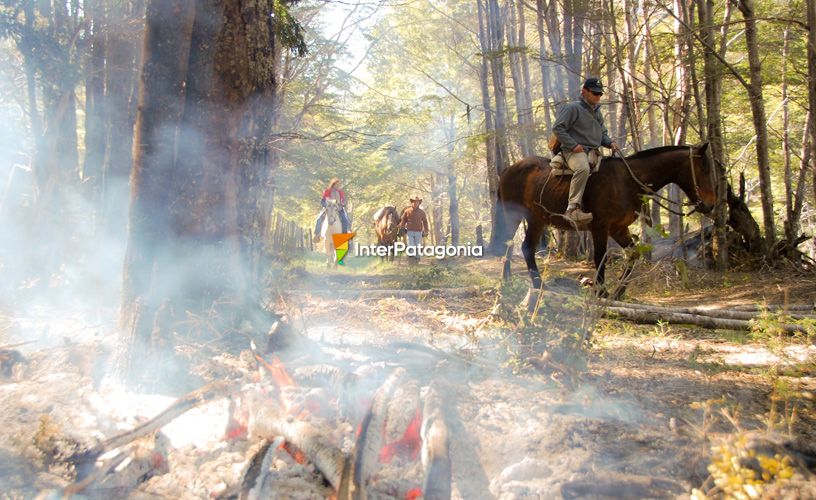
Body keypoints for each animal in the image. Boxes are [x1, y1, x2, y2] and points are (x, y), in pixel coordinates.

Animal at [490, 143, 712, 296]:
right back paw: (523, 283)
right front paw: (601, 291)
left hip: (535, 220)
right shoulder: (600, 227)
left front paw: (619, 292)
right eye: (705, 169)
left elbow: (633, 255)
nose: (709, 205)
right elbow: (600, 257)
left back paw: (522, 283)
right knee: (517, 245)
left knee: (519, 246)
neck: (627, 181)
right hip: (517, 216)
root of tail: (508, 170)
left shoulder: (618, 228)